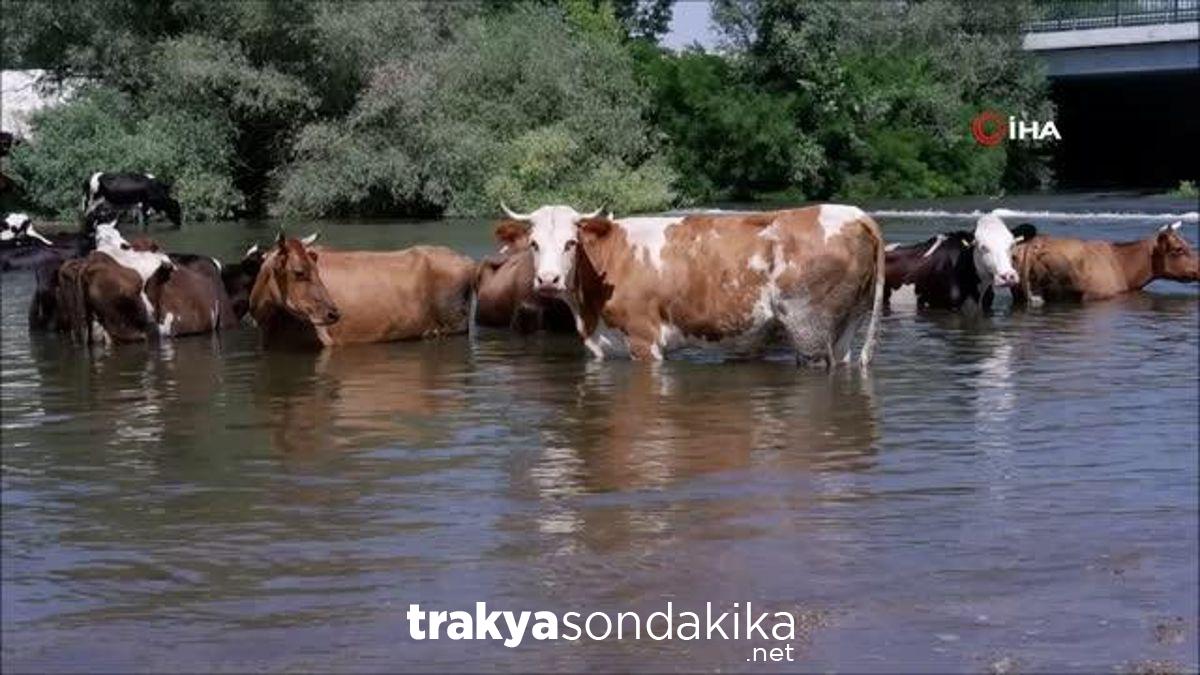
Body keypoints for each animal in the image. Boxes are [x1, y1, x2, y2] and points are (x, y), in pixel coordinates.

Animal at [501, 201, 888, 365]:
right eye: (534, 244)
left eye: (571, 242)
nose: (548, 279)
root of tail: (855, 214)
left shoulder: (644, 340)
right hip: (846, 322)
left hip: (810, 329)